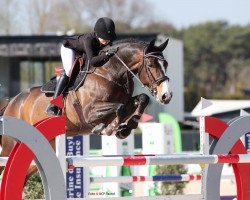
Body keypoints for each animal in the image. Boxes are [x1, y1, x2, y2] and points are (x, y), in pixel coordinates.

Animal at [0, 37, 172, 180]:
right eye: (151, 65)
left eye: (166, 65)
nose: (166, 96)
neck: (111, 73)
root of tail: (12, 102)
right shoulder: (89, 112)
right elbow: (120, 108)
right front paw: (107, 129)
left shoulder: (125, 102)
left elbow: (141, 99)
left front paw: (126, 128)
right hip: (10, 146)